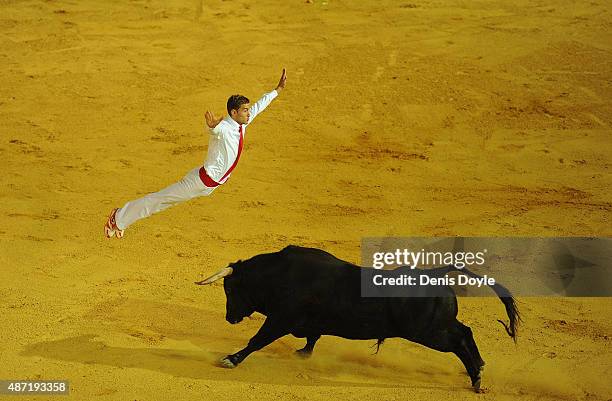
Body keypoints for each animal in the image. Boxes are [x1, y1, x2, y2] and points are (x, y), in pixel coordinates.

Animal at [194, 244, 520, 390]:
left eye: (230, 288)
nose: (230, 317)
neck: (279, 274)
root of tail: (435, 273)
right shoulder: (308, 322)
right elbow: (312, 337)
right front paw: (303, 354)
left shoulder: (280, 319)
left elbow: (257, 340)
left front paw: (230, 359)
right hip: (437, 328)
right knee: (466, 334)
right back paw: (478, 370)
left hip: (431, 332)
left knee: (462, 338)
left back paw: (476, 378)